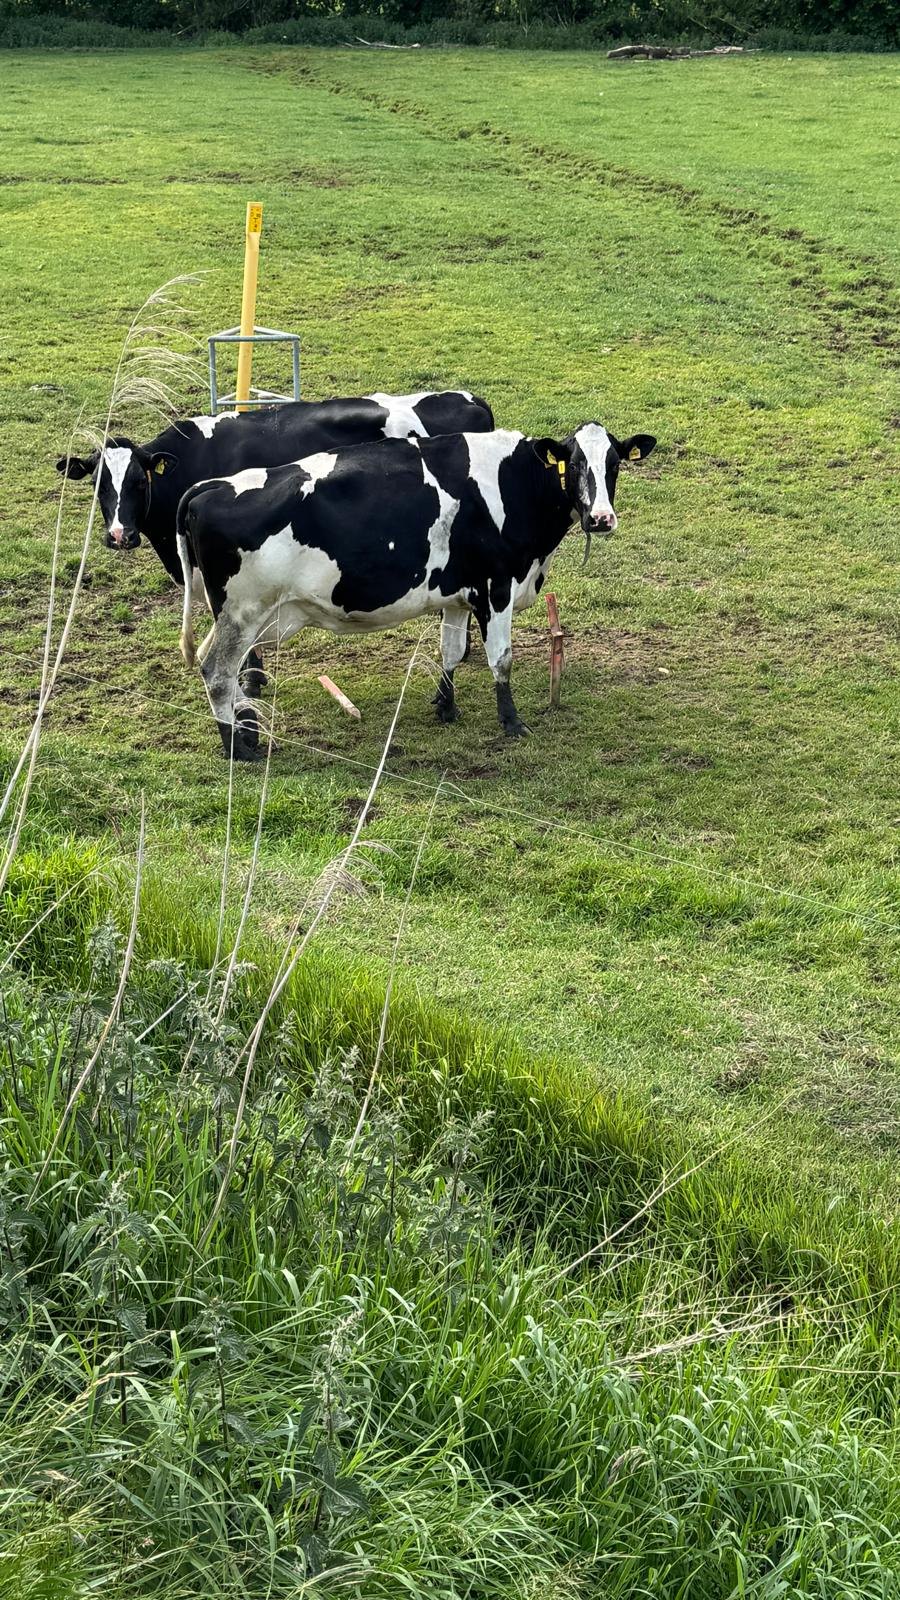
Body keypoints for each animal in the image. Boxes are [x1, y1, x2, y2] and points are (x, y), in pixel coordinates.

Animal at [174, 422, 656, 761]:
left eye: (614, 464)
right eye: (573, 465)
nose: (600, 518)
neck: (514, 484)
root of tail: (211, 486)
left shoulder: (461, 593)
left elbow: (452, 651)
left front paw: (446, 707)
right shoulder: (498, 586)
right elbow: (501, 659)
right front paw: (512, 722)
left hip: (238, 616)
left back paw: (247, 728)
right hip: (243, 613)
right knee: (217, 672)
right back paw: (237, 746)